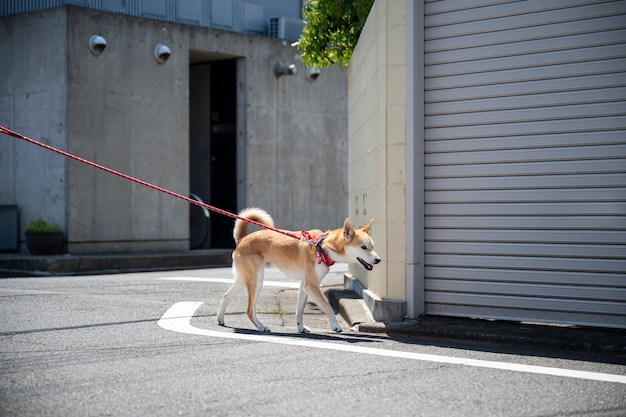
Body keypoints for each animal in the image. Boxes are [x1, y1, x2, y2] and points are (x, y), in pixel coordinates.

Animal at [214, 207, 380, 332]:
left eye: (372, 247)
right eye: (363, 247)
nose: (378, 260)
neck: (323, 246)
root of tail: (242, 239)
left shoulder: (304, 285)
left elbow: (299, 310)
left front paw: (300, 327)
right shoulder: (312, 286)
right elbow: (327, 306)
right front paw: (335, 325)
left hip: (245, 279)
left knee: (226, 296)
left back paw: (220, 319)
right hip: (256, 281)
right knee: (249, 310)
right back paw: (261, 327)